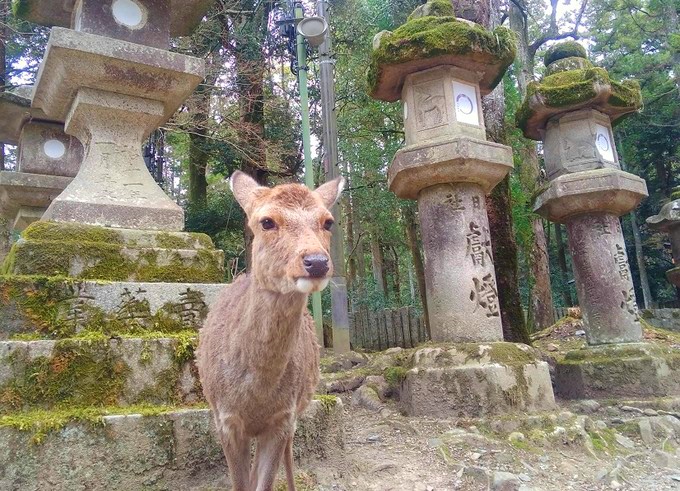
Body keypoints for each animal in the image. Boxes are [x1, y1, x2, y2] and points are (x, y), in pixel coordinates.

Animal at [197, 170, 346, 491]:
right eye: (266, 221)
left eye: (328, 221)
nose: (316, 262)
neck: (257, 394)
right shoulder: (225, 420)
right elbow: (242, 484)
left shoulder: (281, 419)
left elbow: (263, 482)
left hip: (296, 414)